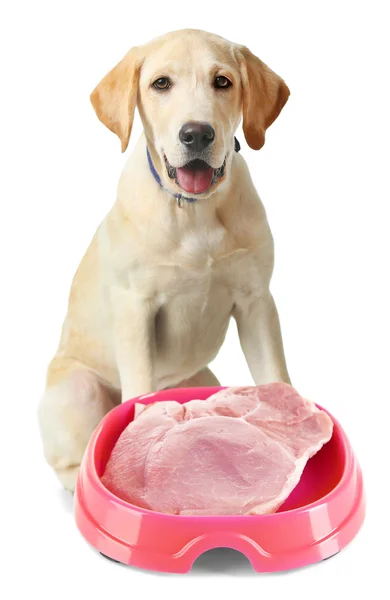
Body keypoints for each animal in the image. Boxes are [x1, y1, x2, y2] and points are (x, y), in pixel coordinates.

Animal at [38, 29, 290, 492]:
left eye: (223, 82)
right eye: (161, 84)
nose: (196, 134)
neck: (195, 212)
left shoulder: (256, 302)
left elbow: (276, 376)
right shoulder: (136, 309)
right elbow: (139, 392)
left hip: (203, 376)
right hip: (78, 389)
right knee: (70, 459)